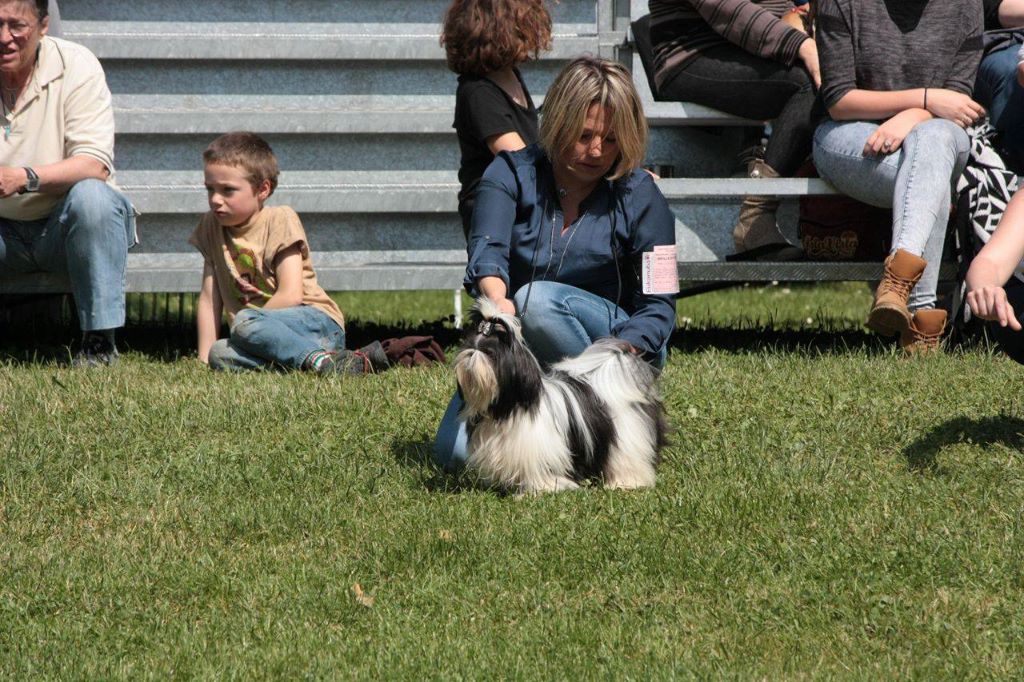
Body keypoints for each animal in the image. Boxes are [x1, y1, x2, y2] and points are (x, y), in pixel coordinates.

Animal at [454, 294, 663, 491]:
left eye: (489, 353)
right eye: (469, 346)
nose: (470, 354)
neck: (507, 408)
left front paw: (540, 489)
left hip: (626, 439)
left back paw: (625, 483)